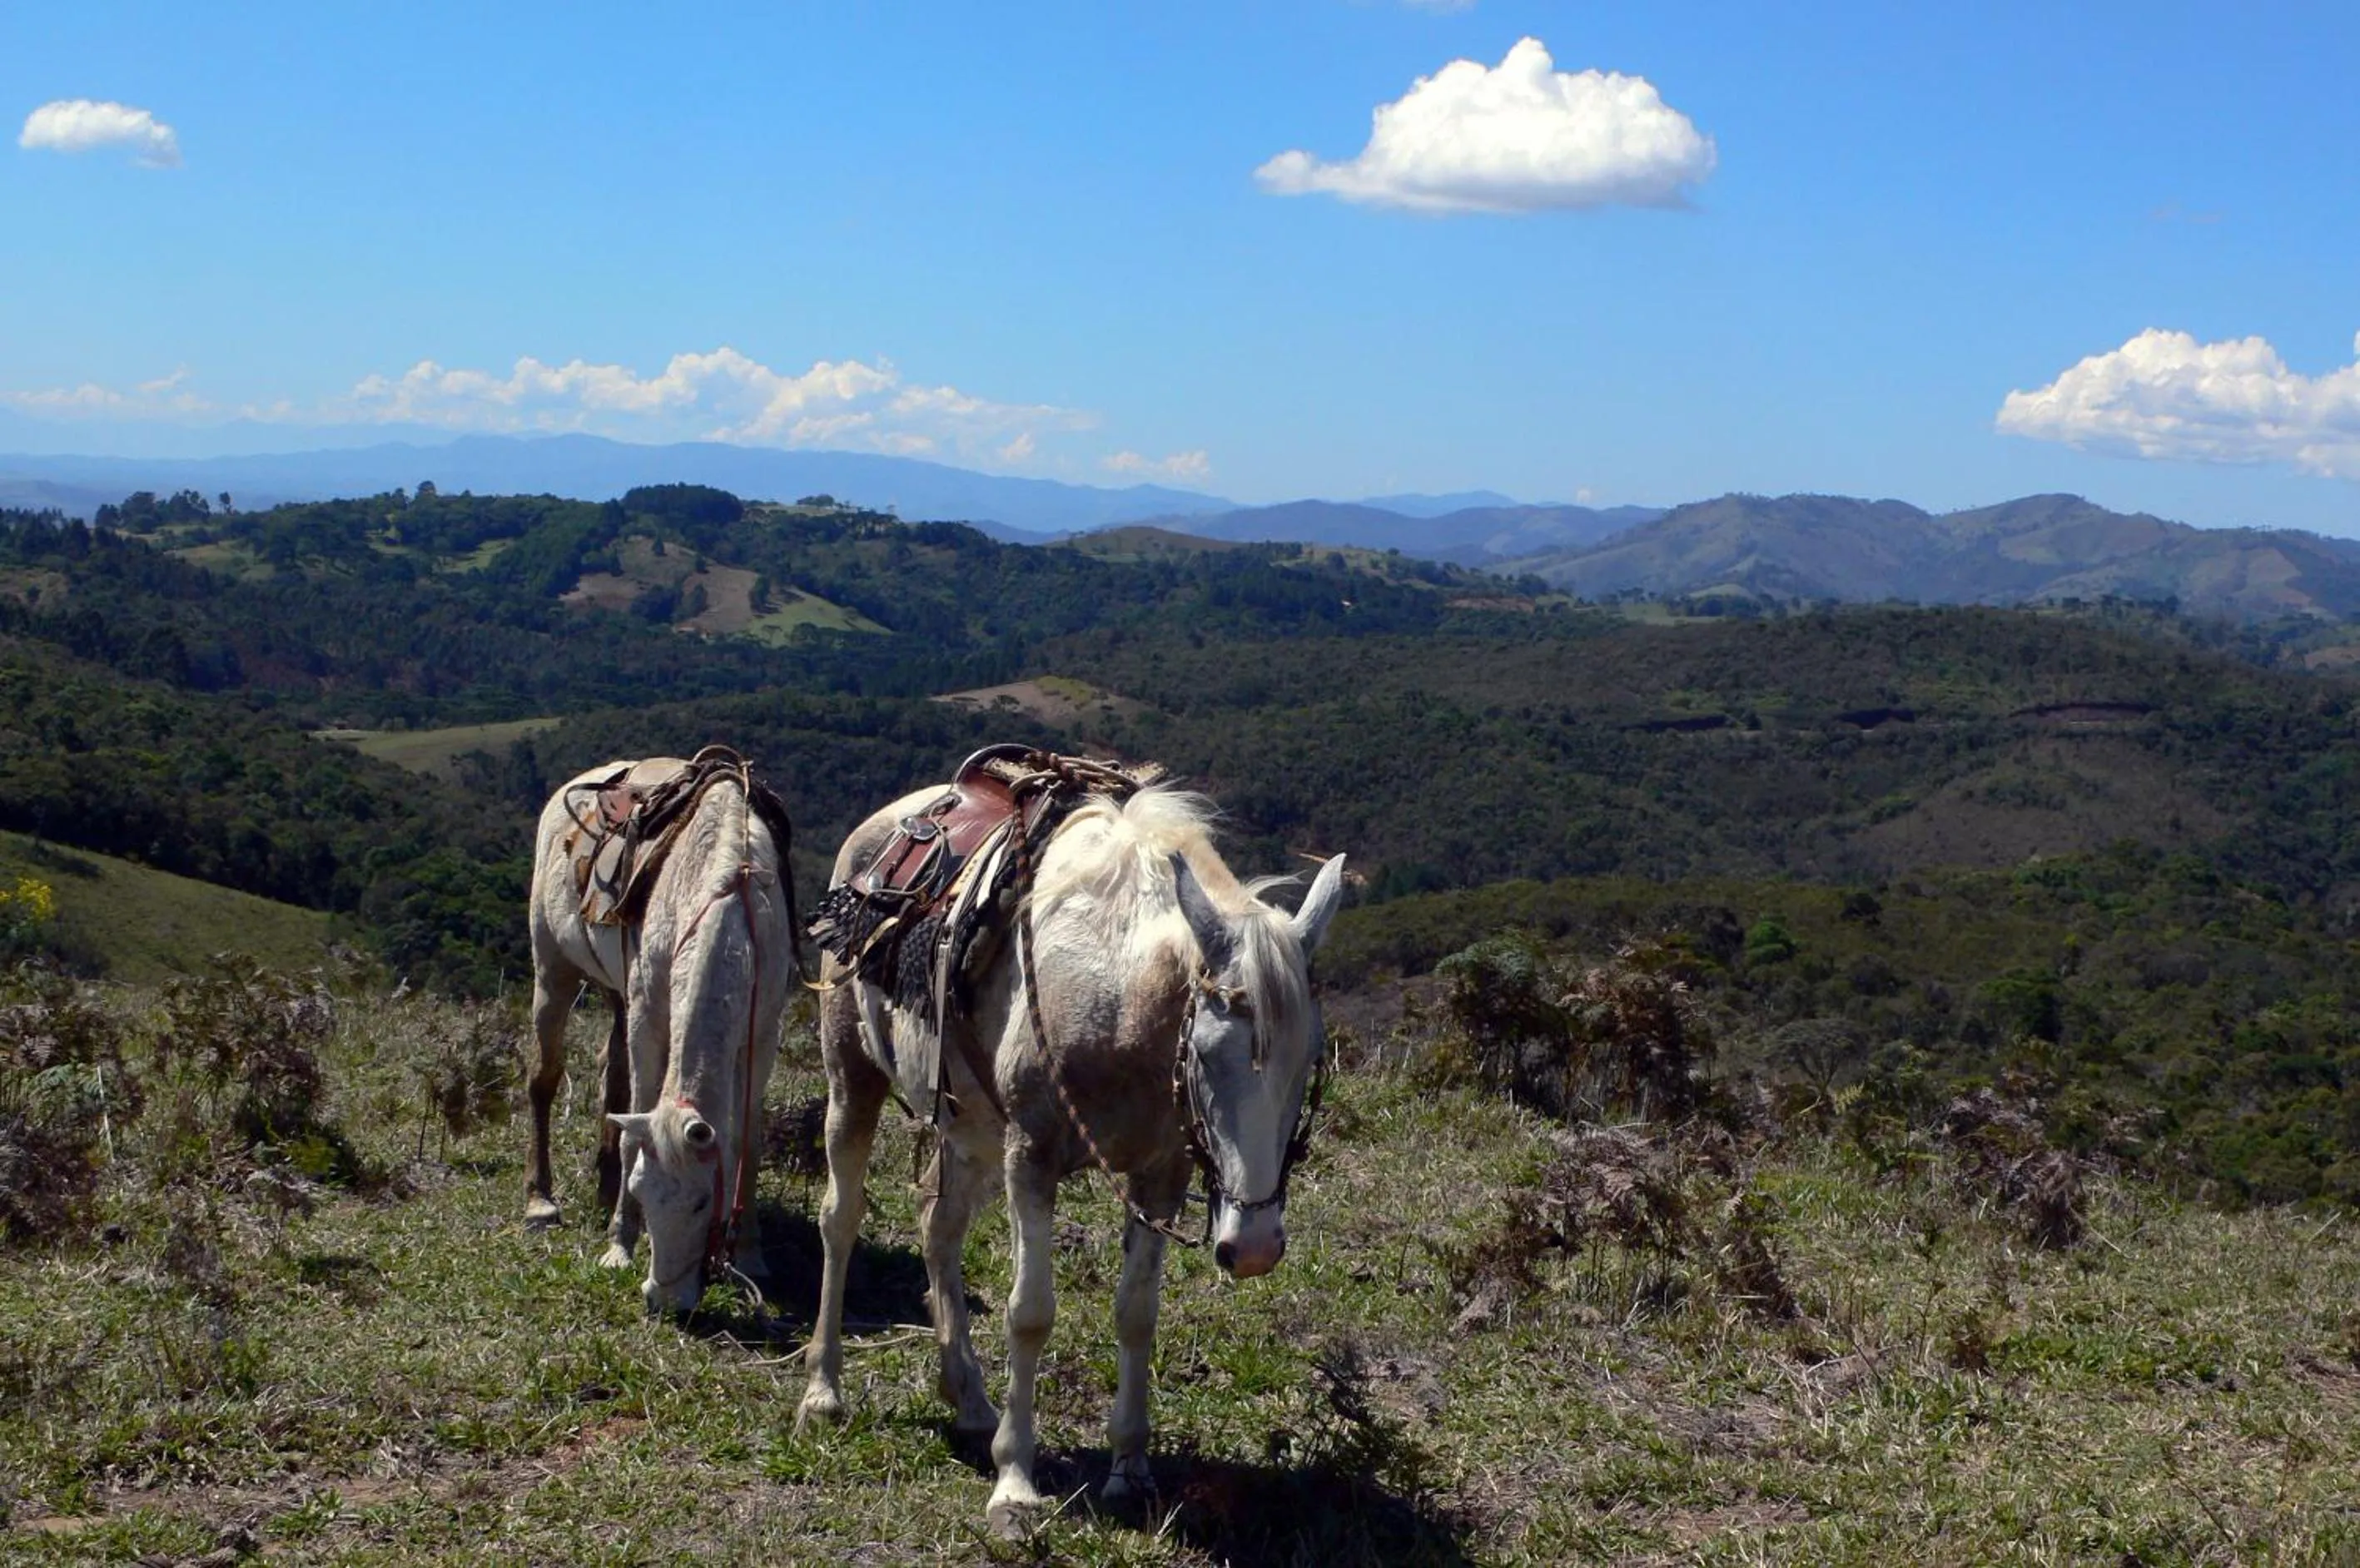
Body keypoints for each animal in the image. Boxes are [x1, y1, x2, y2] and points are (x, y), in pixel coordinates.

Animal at [522, 752, 795, 1316]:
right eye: (646, 1191)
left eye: (703, 1203)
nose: (665, 1300)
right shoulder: (649, 1016)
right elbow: (636, 1131)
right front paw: (620, 1244)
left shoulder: (762, 1033)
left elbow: (748, 1140)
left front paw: (750, 1254)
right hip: (552, 968)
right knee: (544, 1077)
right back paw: (540, 1200)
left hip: (617, 991)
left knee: (612, 1074)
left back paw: (603, 1186)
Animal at [796, 780, 1345, 1532]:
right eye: (1207, 1053)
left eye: (1309, 1062)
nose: (1254, 1247)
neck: (1120, 1001)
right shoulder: (1030, 1157)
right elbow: (1030, 1311)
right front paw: (1015, 1481)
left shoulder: (1159, 1177)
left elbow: (1136, 1313)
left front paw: (1129, 1469)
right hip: (852, 1075)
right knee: (840, 1218)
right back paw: (823, 1391)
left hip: (967, 1128)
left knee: (938, 1229)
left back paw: (968, 1399)